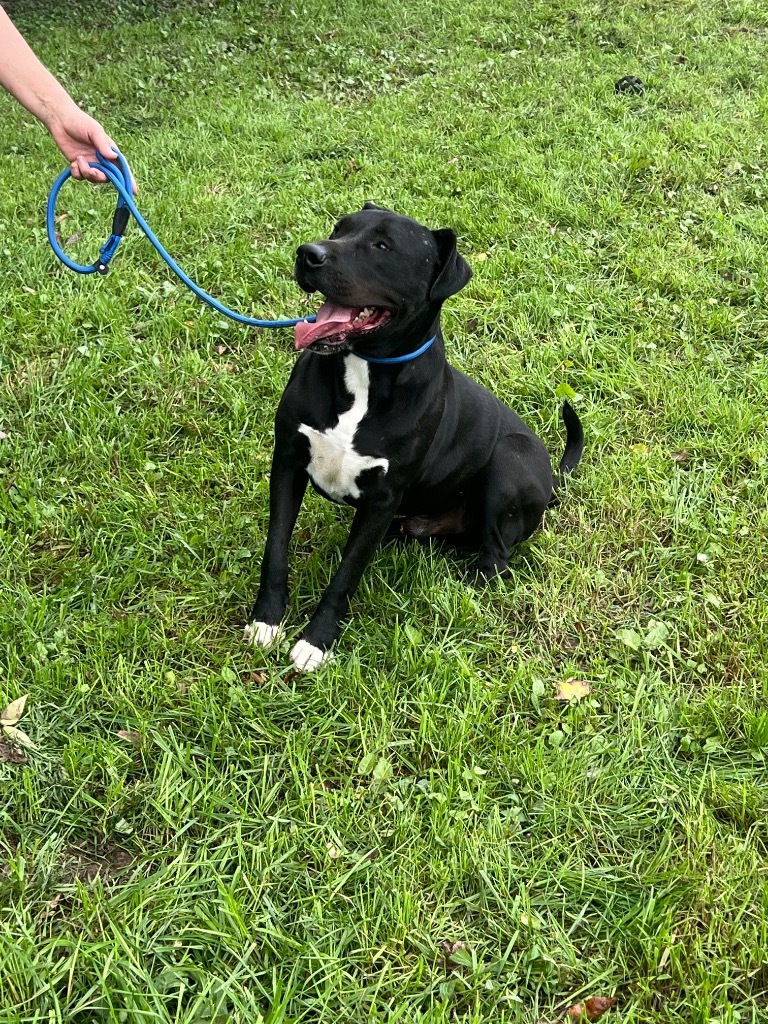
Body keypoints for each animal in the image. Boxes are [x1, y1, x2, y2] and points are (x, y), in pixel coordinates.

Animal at [246, 205, 581, 671]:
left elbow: (346, 576)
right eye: (340, 228)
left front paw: (317, 641)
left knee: (497, 558)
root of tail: (552, 481)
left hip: (511, 456)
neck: (364, 372)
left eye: (383, 246)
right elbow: (276, 548)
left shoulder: (382, 498)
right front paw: (267, 620)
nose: (308, 253)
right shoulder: (289, 463)